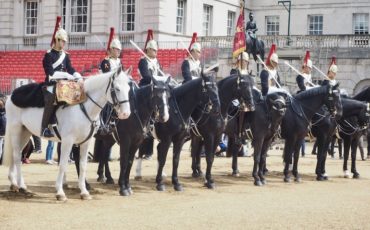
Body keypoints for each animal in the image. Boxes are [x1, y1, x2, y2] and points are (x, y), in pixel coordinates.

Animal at [2, 67, 132, 200]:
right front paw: (60, 192)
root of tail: (11, 95)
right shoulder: (67, 141)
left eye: (128, 88)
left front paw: (84, 192)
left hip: (25, 132)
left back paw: (14, 184)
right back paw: (21, 186)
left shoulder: (86, 142)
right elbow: (63, 164)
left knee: (16, 153)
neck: (83, 107)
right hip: (16, 130)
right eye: (117, 89)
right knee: (17, 156)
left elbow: (83, 165)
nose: (125, 114)